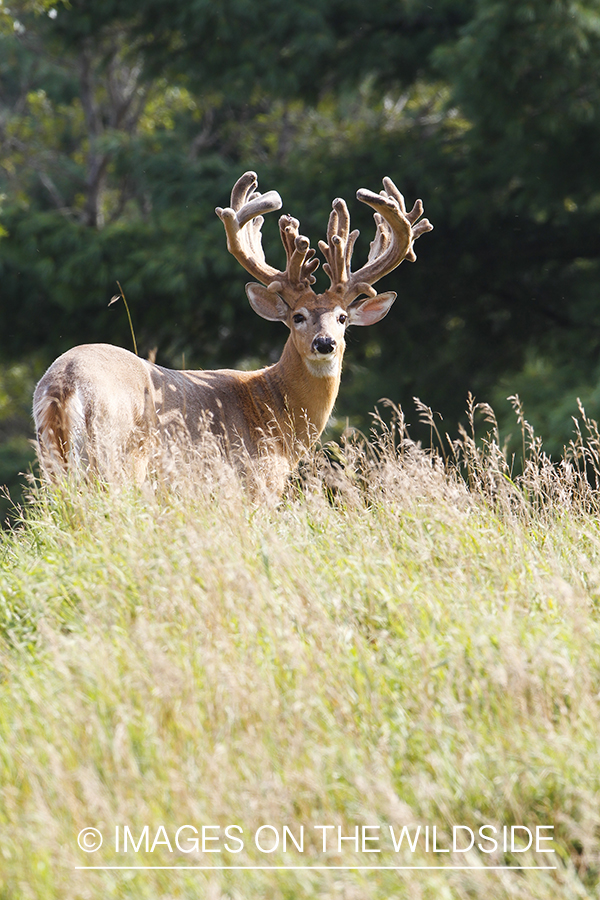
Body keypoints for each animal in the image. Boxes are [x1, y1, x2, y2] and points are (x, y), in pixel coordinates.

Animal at [34, 169, 432, 492]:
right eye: (298, 317)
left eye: (343, 318)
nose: (325, 343)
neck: (273, 409)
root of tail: (65, 382)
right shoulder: (255, 483)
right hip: (118, 457)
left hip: (54, 461)